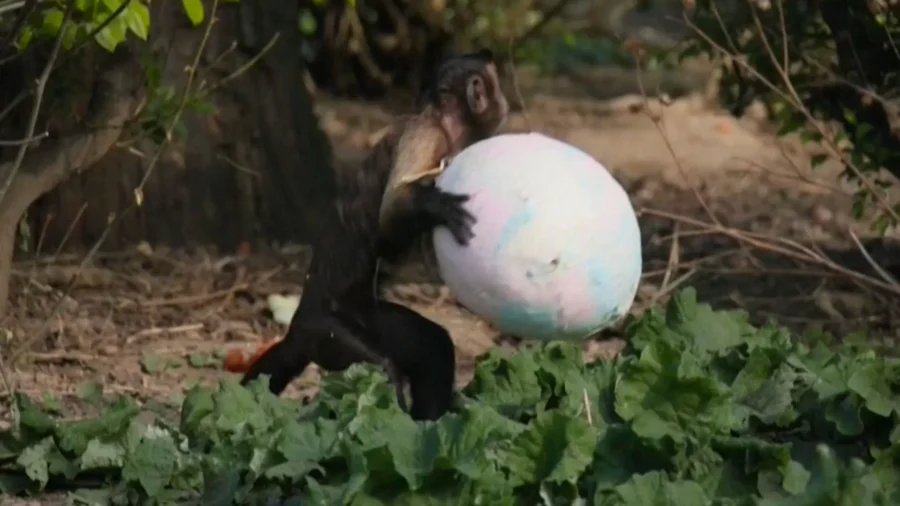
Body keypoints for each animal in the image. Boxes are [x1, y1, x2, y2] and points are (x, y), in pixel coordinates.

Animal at [239, 48, 509, 420]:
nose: (505, 102)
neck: (445, 126)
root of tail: (297, 326)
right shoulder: (426, 134)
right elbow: (391, 214)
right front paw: (436, 205)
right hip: (325, 334)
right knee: (381, 370)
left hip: (368, 318)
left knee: (433, 348)